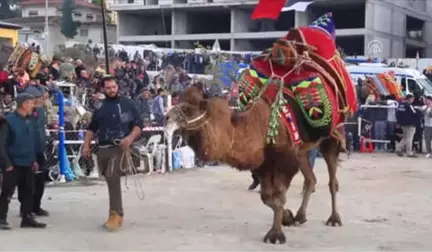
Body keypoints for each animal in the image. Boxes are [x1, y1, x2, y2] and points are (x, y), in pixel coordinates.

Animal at [164, 12, 356, 243]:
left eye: (188, 109)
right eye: (179, 99)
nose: (167, 117)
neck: (259, 125)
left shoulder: (284, 160)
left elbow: (279, 195)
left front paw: (276, 234)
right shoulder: (264, 163)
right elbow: (267, 197)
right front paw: (287, 218)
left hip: (332, 136)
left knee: (332, 179)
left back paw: (334, 218)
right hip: (302, 148)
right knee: (310, 179)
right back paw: (300, 216)